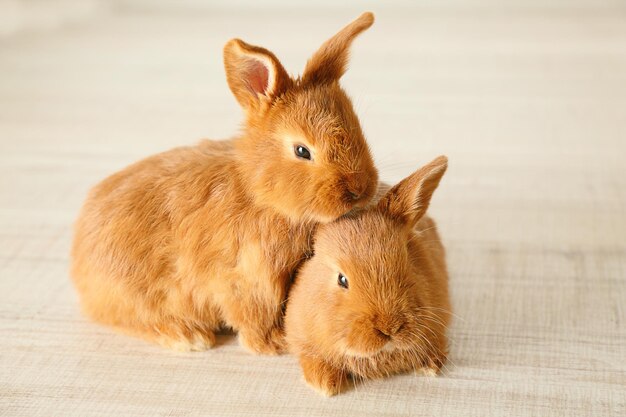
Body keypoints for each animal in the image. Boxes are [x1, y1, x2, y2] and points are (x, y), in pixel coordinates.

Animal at [70, 11, 378, 352]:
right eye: (302, 151)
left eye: (358, 129)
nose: (360, 189)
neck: (260, 196)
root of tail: (78, 261)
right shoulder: (245, 278)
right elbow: (253, 315)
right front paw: (275, 343)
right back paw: (187, 335)